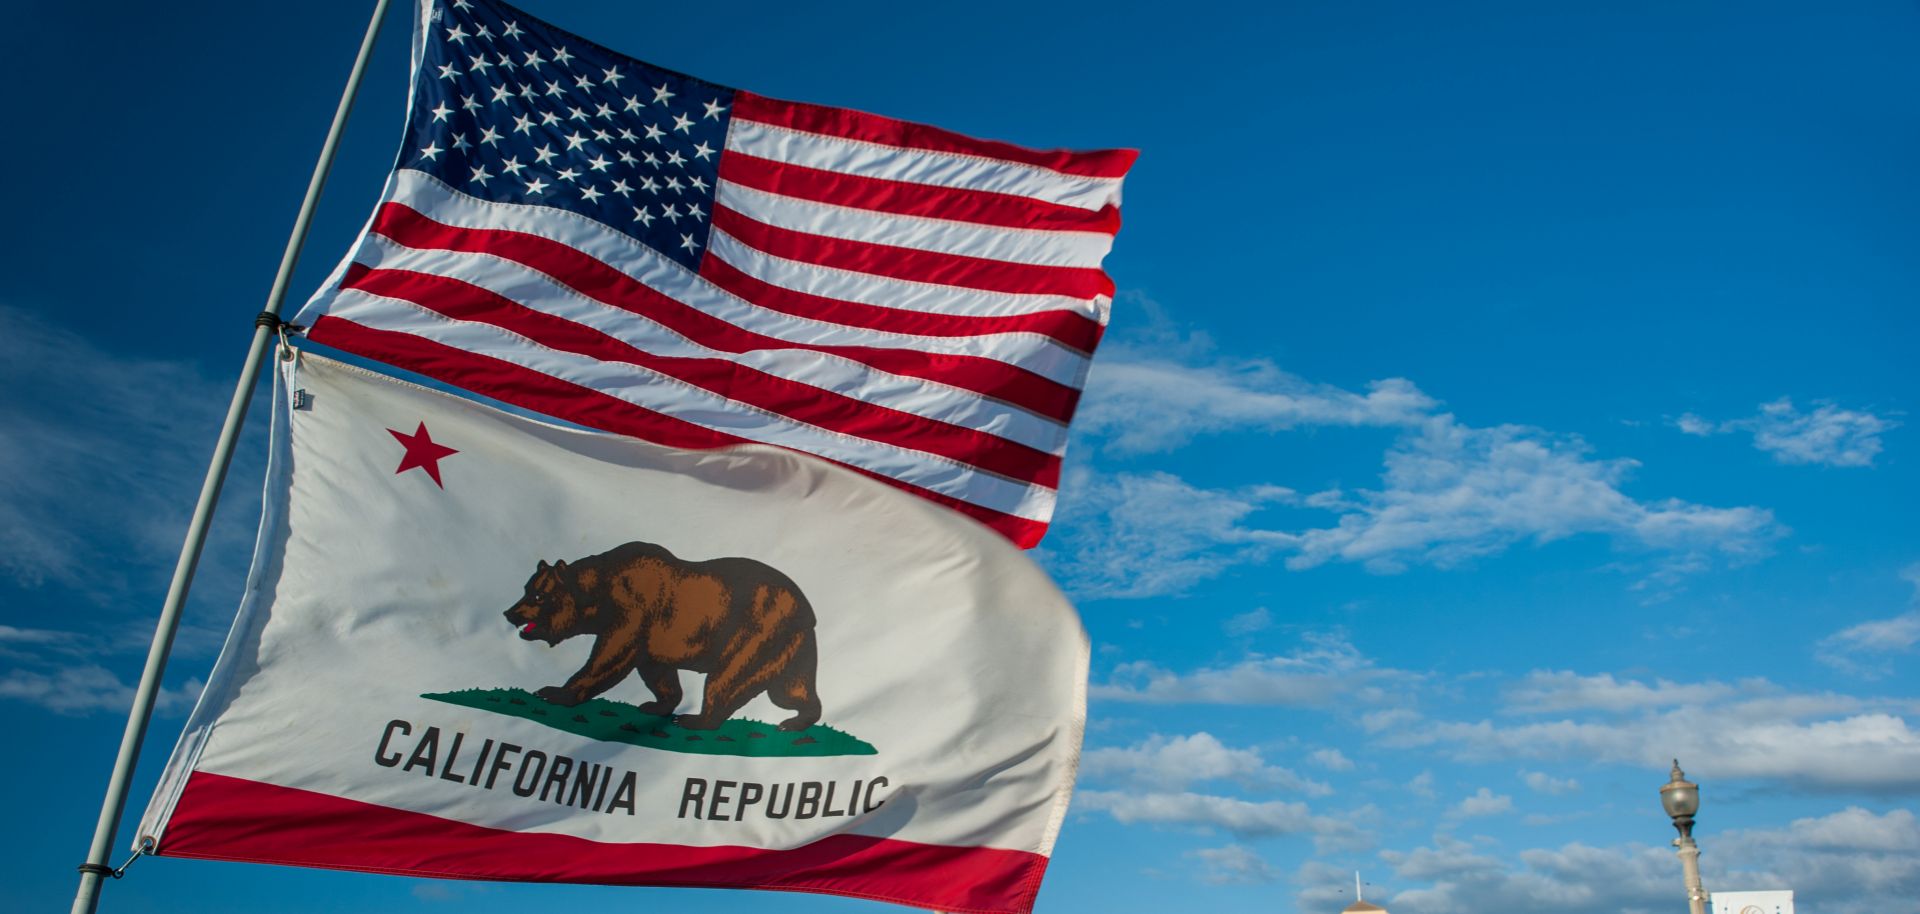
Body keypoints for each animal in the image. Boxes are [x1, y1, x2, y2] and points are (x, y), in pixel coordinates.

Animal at [499, 537, 821, 733]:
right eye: (527, 589)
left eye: (539, 596)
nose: (509, 613)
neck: (598, 593)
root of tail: (807, 610)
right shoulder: (653, 639)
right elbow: (658, 674)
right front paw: (656, 705)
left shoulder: (632, 610)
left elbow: (607, 657)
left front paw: (554, 692)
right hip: (792, 648)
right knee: (791, 691)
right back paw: (795, 720)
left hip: (757, 629)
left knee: (726, 678)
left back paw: (695, 720)